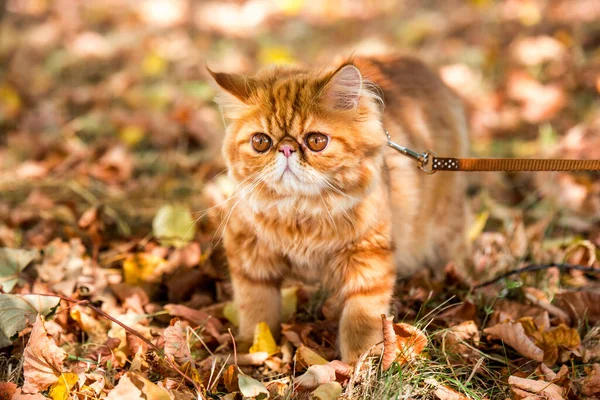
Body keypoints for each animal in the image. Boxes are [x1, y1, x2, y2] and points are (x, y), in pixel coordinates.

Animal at [210, 55, 468, 362]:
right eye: (261, 142)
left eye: (316, 141)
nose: (286, 149)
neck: (301, 213)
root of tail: (417, 64)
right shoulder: (249, 256)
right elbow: (257, 310)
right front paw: (255, 348)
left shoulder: (368, 260)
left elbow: (361, 321)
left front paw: (358, 364)